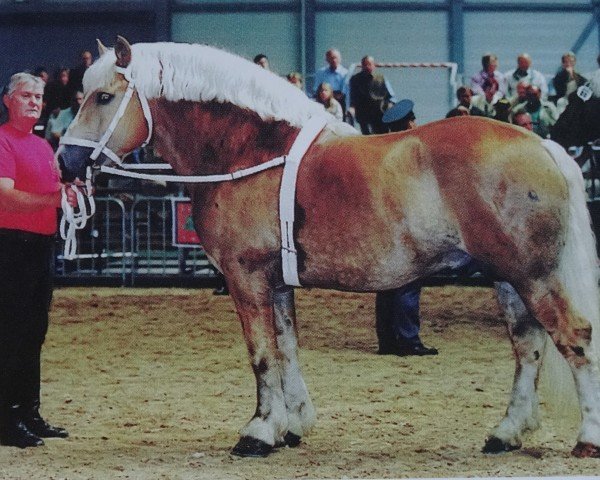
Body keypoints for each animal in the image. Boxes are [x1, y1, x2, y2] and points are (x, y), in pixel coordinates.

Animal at [58, 36, 600, 458]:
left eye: (103, 97)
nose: (65, 161)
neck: (249, 152)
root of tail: (543, 146)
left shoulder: (245, 278)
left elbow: (261, 355)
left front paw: (258, 432)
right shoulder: (276, 283)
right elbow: (287, 348)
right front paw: (293, 424)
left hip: (533, 277)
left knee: (574, 338)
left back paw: (587, 438)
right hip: (508, 279)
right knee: (528, 347)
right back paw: (506, 432)